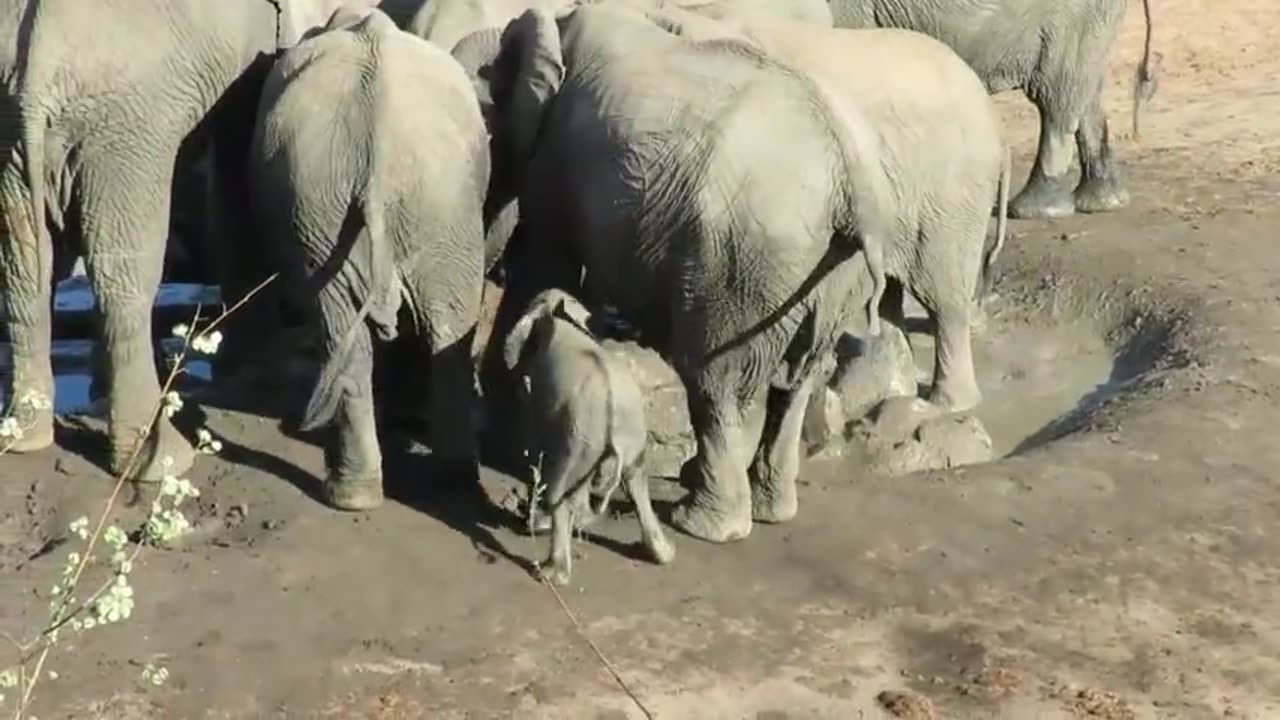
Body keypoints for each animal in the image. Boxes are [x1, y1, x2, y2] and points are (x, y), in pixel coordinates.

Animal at [0, 1, 391, 481]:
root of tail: (35, 68)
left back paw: (24, 438)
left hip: (20, 134)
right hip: (127, 129)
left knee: (25, 271)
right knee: (125, 276)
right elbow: (239, 161)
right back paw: (161, 460)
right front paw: (259, 368)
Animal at [248, 8, 488, 507]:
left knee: (417, 333)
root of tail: (376, 155)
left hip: (394, 206)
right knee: (396, 334)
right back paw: (376, 492)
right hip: (343, 208)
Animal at [455, 1, 896, 538]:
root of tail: (851, 185)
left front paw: (501, 436)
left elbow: (543, 263)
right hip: (826, 275)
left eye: (483, 129)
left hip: (741, 268)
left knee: (715, 382)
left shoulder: (556, 159)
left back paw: (705, 524)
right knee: (799, 378)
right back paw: (768, 509)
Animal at [501, 286, 675, 584]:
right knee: (636, 480)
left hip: (582, 434)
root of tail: (614, 419)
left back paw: (550, 571)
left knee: (560, 493)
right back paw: (663, 554)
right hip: (622, 434)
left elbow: (534, 440)